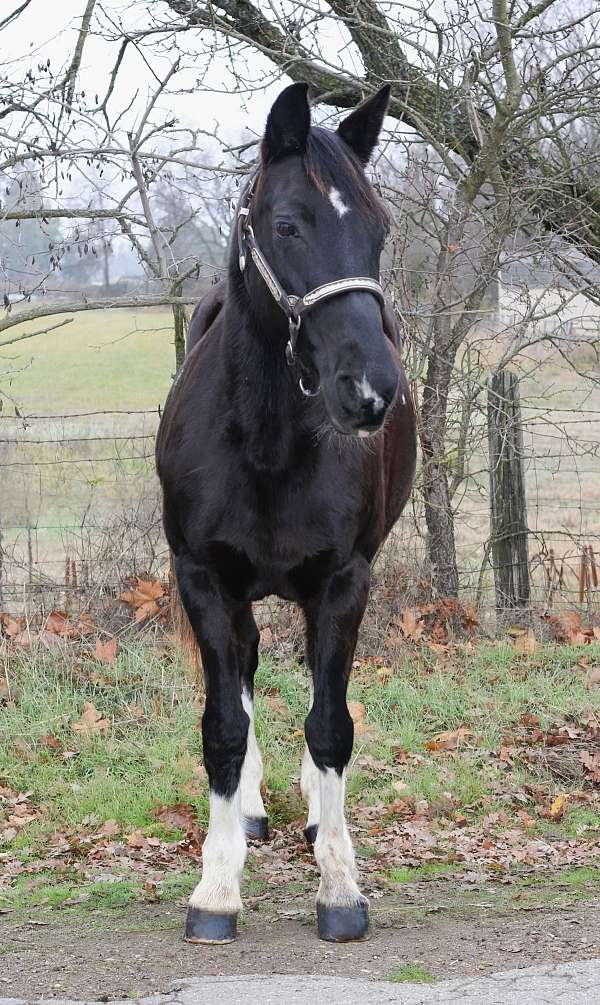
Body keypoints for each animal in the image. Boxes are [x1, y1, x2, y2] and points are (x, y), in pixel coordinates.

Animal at [155, 82, 416, 944]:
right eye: (287, 224)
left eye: (378, 227)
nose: (370, 389)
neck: (267, 439)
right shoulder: (204, 579)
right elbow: (223, 726)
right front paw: (216, 887)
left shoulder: (343, 582)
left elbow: (331, 722)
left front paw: (339, 885)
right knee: (246, 669)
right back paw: (250, 811)